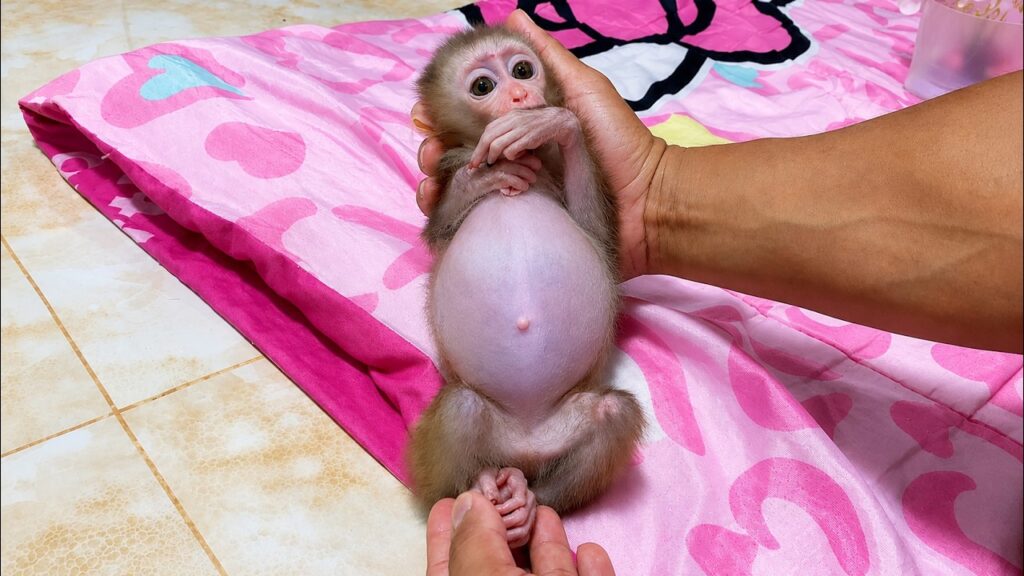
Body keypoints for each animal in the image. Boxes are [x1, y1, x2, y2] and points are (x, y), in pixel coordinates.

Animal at [407, 25, 645, 548]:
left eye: (522, 69)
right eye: (482, 86)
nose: (520, 96)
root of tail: (525, 444)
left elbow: (600, 241)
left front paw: (552, 123)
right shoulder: (448, 170)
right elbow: (439, 230)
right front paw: (484, 176)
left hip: (561, 435)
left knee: (611, 413)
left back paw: (528, 498)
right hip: (479, 431)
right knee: (461, 411)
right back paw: (479, 485)